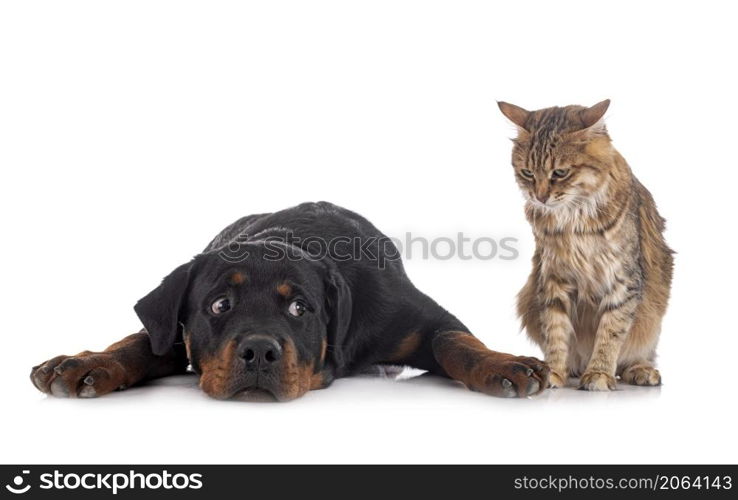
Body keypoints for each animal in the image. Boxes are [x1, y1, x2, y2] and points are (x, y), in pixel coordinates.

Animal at [28, 201, 548, 400]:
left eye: (301, 308)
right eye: (219, 305)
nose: (260, 351)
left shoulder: (411, 315)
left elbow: (453, 341)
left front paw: (504, 364)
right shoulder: (169, 329)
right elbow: (140, 342)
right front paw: (83, 362)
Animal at [498, 98, 668, 390]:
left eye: (560, 173)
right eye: (528, 173)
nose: (540, 197)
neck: (573, 220)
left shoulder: (624, 280)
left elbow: (611, 332)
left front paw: (599, 373)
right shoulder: (552, 278)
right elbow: (555, 331)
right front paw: (553, 372)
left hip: (652, 316)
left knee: (638, 355)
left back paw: (640, 371)